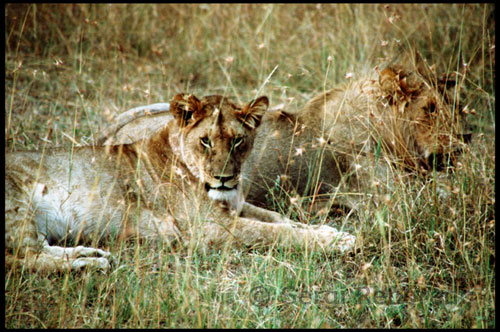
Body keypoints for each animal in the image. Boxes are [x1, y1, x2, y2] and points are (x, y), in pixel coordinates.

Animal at [4, 92, 356, 272]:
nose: (225, 178)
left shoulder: (236, 206)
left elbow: (282, 220)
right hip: (16, 208)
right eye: (205, 141)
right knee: (25, 258)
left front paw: (327, 231)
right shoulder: (210, 228)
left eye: (238, 140)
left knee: (37, 250)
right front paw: (337, 242)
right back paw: (88, 264)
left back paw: (88, 254)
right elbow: (274, 233)